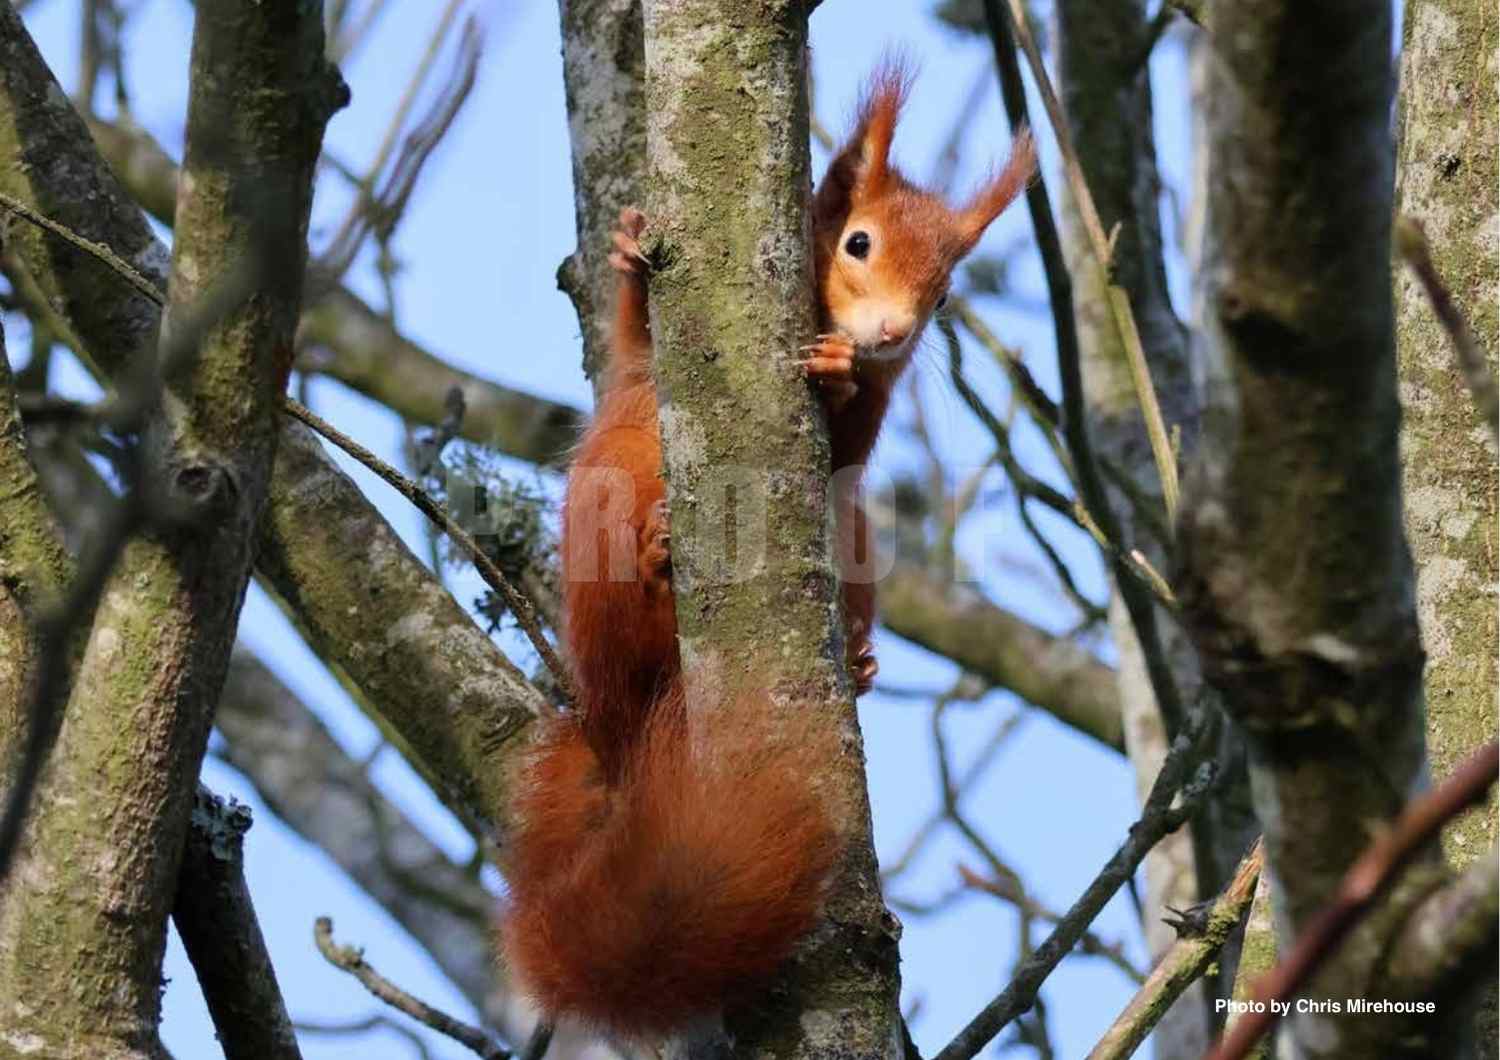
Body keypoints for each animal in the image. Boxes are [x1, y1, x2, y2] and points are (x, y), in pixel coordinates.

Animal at [501, 64, 1035, 1040]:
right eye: (858, 242)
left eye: (945, 294)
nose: (892, 333)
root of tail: (613, 729)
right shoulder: (639, 369)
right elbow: (633, 341)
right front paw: (628, 251)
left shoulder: (870, 425)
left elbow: (852, 442)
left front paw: (839, 373)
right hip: (605, 516)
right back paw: (655, 555)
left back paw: (857, 660)